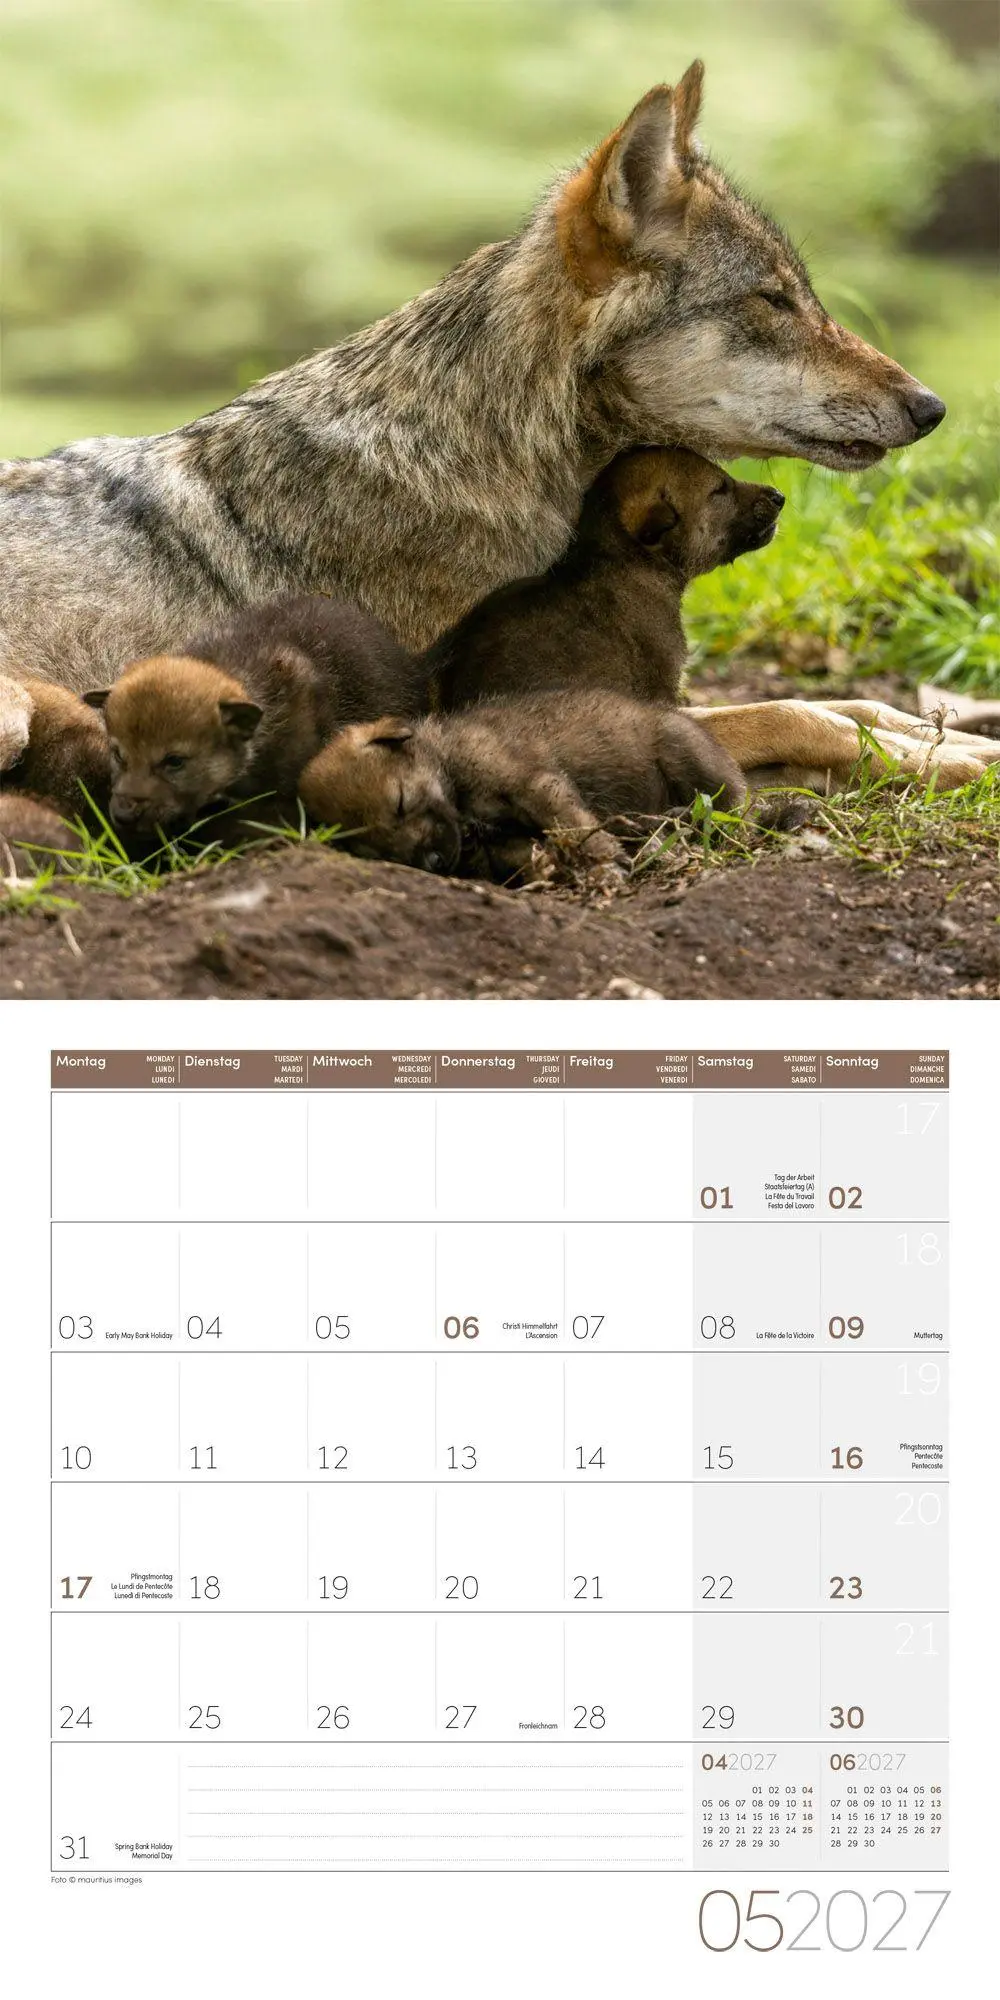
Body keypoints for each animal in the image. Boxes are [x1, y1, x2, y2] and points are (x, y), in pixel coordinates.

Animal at [0, 60, 986, 783]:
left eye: (803, 294)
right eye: (772, 300)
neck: (496, 465)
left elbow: (858, 702)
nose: (932, 407)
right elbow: (803, 710)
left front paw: (953, 737)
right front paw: (943, 761)